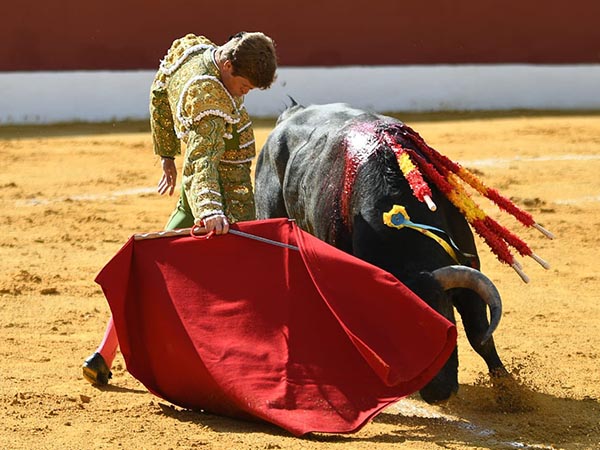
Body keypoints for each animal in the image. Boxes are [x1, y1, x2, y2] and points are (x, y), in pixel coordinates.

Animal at [254, 103, 510, 404]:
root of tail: (291, 112)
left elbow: (479, 333)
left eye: (446, 322)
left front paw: (509, 391)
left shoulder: (468, 263)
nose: (439, 394)